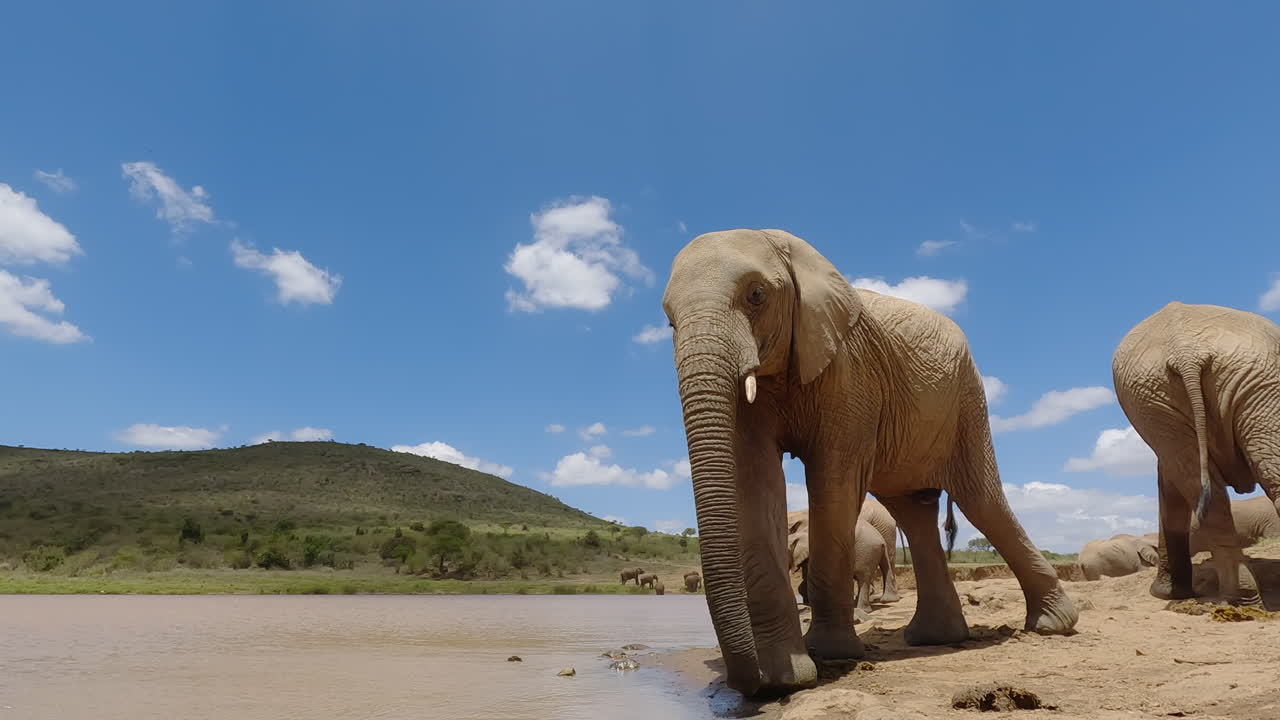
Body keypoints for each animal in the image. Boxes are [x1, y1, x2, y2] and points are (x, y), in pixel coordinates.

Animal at [662, 228, 1078, 695]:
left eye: (756, 295)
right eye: (669, 320)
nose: (753, 684)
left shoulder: (850, 372)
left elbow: (834, 481)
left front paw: (827, 654)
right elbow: (756, 481)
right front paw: (788, 675)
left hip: (967, 400)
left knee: (982, 501)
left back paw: (1054, 625)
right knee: (914, 512)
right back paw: (936, 638)